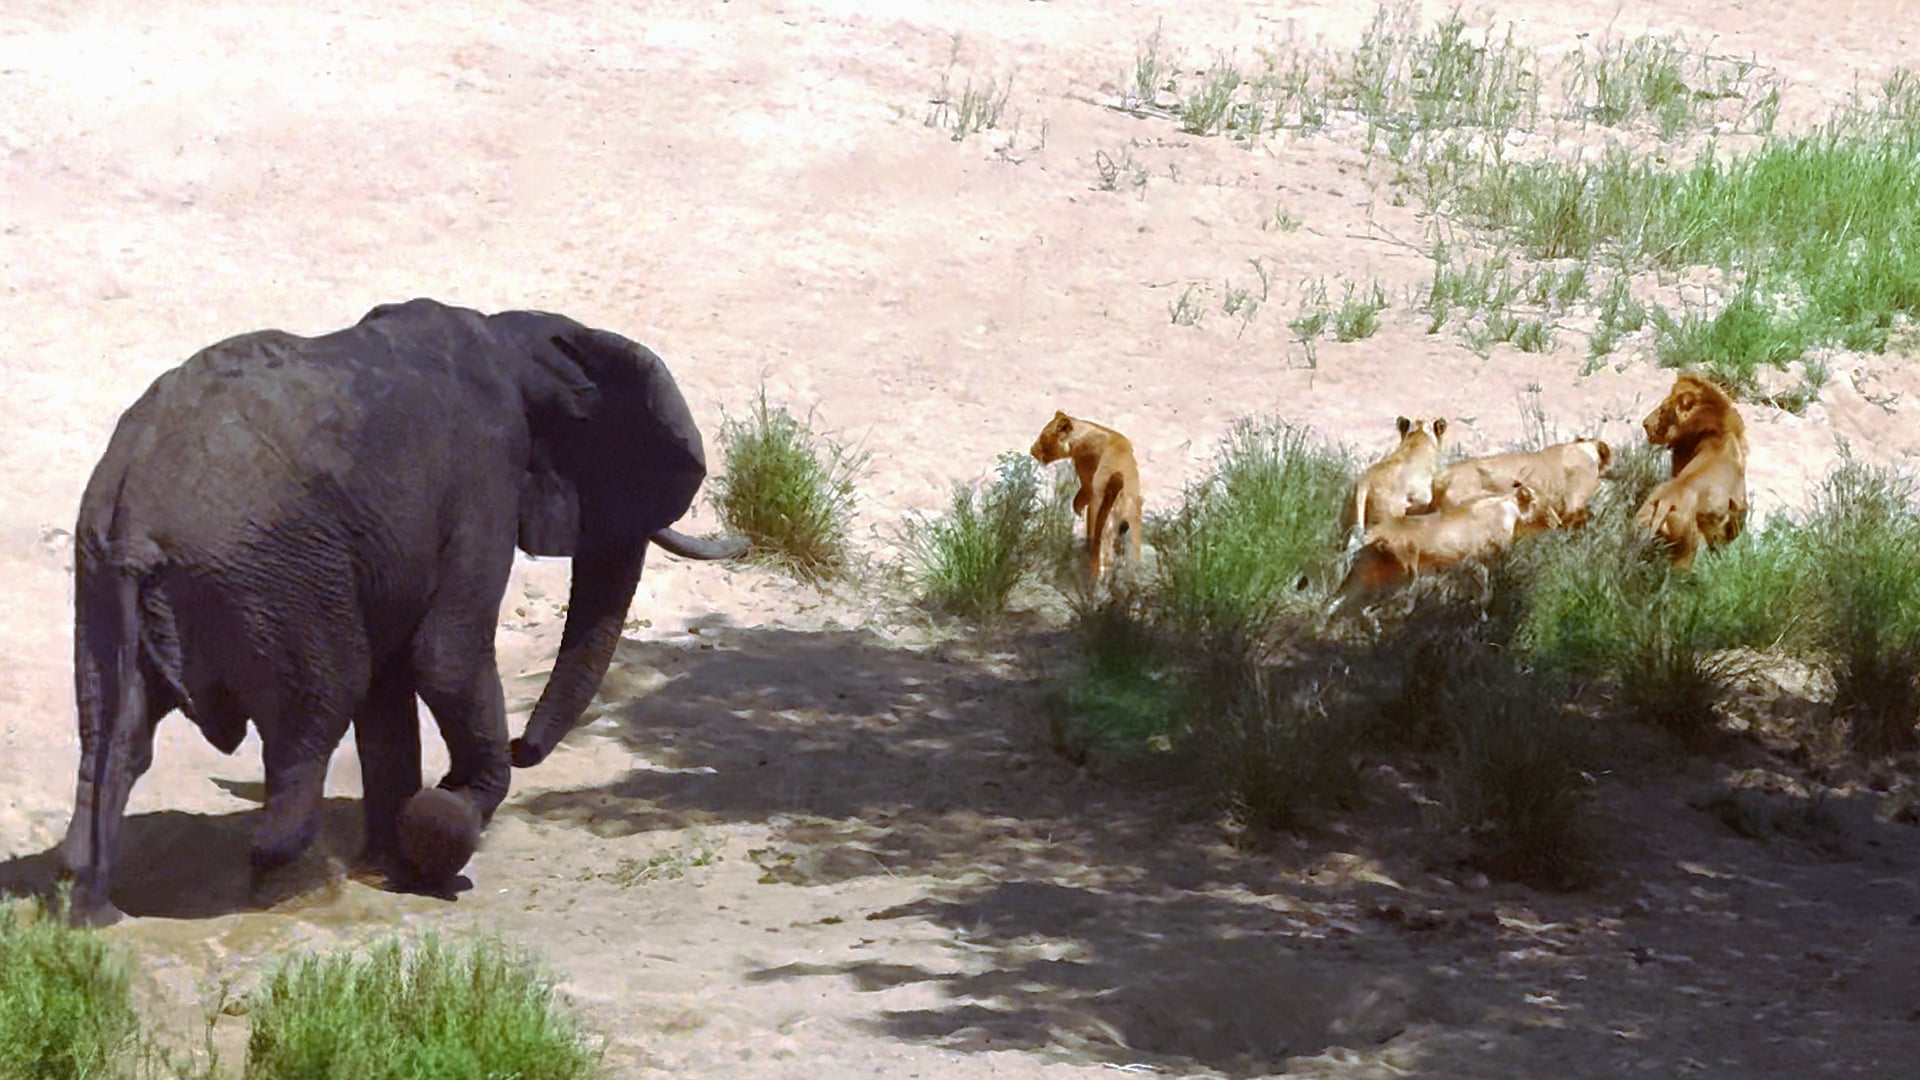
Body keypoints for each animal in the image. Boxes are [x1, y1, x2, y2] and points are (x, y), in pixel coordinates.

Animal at [61, 297, 747, 927]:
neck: (513, 338)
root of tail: (133, 516)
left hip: (102, 577)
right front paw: (441, 826)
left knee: (115, 738)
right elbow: (445, 657)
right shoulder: (482, 480)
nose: (523, 745)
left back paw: (94, 911)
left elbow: (391, 682)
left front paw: (391, 860)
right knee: (318, 708)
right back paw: (283, 883)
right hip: (273, 580)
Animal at [1030, 410, 1144, 582]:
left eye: (1043, 437)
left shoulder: (1087, 479)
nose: (1031, 450)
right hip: (1132, 525)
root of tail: (1118, 478)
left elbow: (1081, 501)